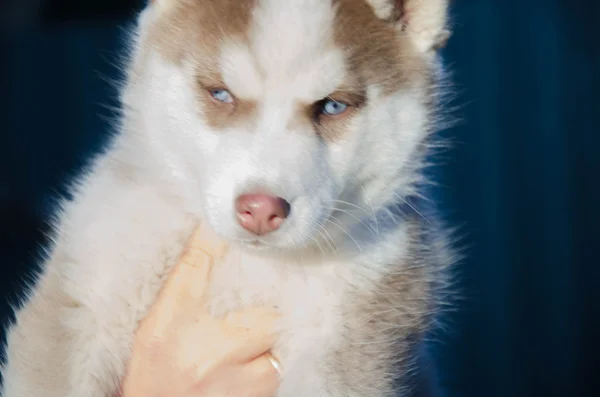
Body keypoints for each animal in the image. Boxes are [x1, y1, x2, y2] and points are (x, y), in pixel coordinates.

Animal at [2, 0, 458, 396]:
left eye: (332, 106)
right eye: (221, 94)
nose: (261, 209)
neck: (247, 264)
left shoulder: (356, 328)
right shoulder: (89, 287)